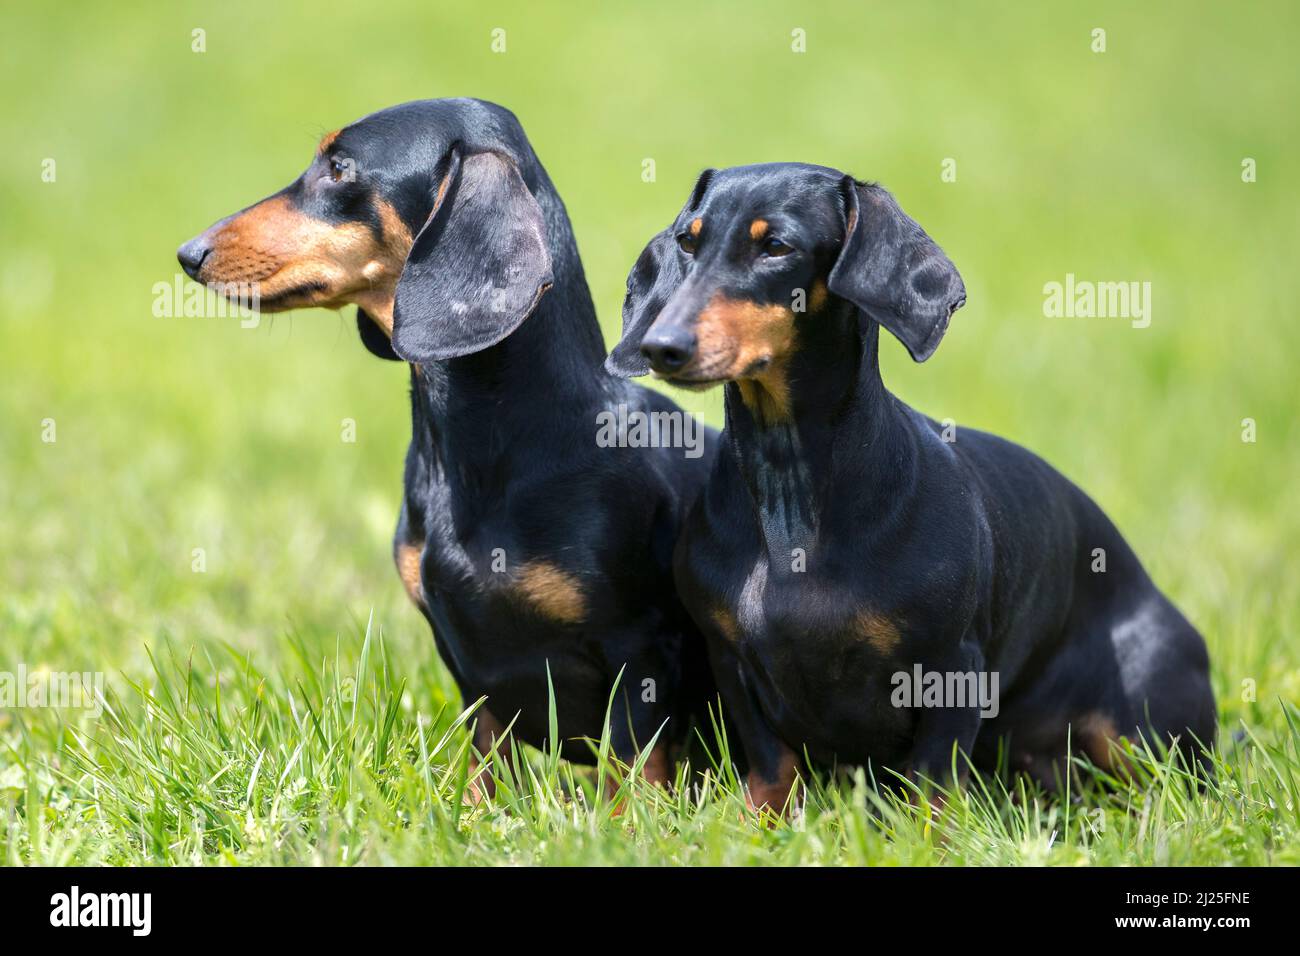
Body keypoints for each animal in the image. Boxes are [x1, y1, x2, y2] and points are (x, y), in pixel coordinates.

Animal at [603, 162, 1211, 806]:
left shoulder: (953, 667)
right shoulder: (729, 657)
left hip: (1141, 729)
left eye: (777, 247)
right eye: (688, 241)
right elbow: (772, 765)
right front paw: (756, 819)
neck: (791, 493)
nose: (661, 346)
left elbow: (932, 785)